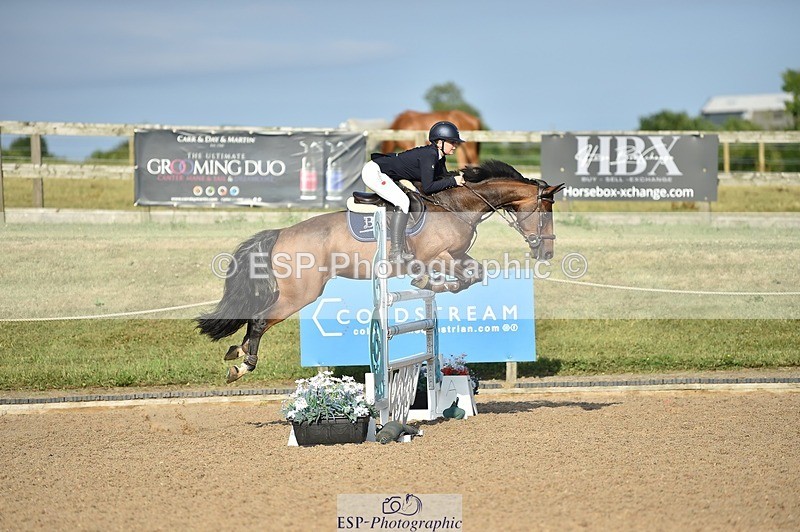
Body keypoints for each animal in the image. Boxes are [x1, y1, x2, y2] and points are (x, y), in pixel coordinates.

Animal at [196, 160, 564, 383]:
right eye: (546, 213)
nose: (546, 252)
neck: (457, 206)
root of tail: (281, 234)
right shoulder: (437, 255)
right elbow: (456, 276)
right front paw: (427, 280)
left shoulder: (458, 255)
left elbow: (474, 274)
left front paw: (433, 284)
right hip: (300, 293)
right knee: (259, 320)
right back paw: (243, 364)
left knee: (254, 319)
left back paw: (237, 352)